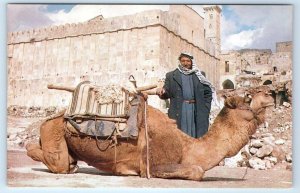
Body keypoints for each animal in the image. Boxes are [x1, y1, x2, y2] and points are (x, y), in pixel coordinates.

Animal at [25, 88, 274, 180]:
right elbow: (197, 171)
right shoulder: (152, 165)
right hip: (54, 131)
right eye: (247, 100)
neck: (187, 146)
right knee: (51, 159)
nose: (270, 94)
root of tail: (53, 117)